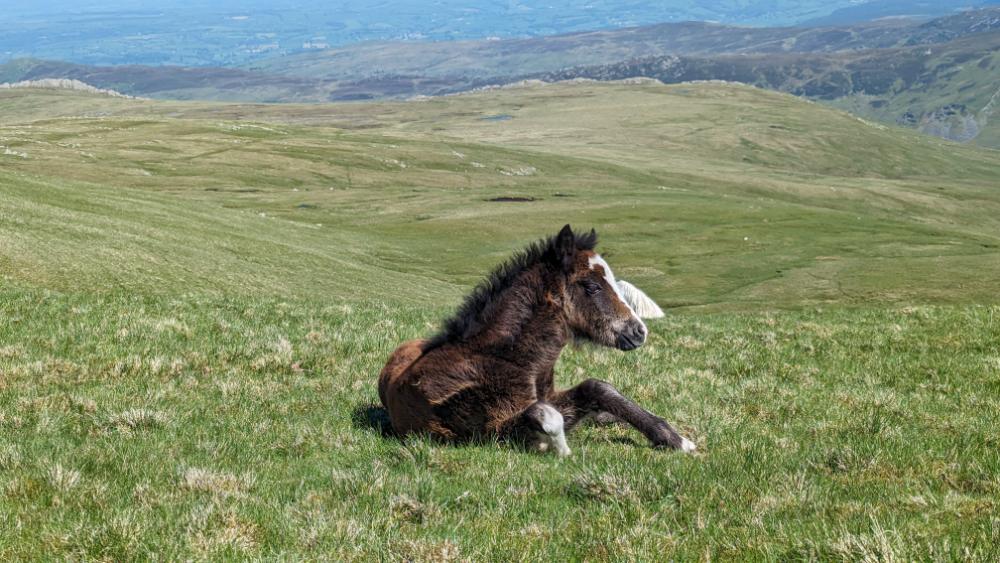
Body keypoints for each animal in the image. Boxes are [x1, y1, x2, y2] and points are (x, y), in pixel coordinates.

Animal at [378, 225, 695, 456]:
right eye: (592, 286)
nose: (639, 331)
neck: (505, 357)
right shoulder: (489, 432)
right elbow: (545, 414)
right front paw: (559, 449)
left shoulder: (553, 396)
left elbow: (597, 388)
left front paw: (674, 438)